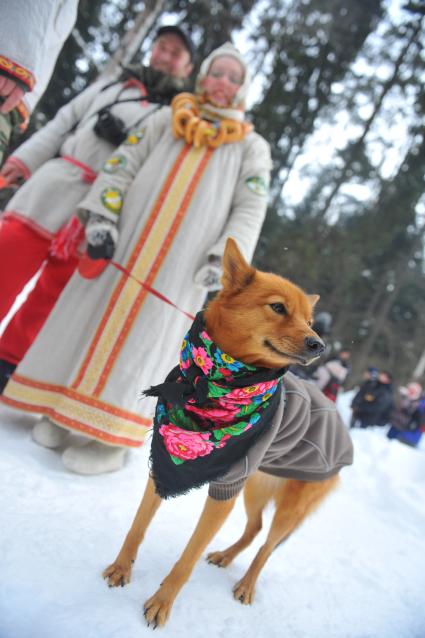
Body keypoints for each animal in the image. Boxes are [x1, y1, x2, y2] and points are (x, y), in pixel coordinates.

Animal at [102, 238, 352, 628]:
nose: (319, 345)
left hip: (287, 507)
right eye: (278, 307)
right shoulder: (163, 466)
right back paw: (225, 557)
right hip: (256, 486)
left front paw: (162, 602)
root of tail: (341, 424)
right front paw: (121, 568)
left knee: (267, 547)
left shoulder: (225, 491)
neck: (217, 381)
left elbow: (186, 560)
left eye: (309, 321)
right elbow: (137, 527)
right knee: (255, 529)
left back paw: (247, 584)